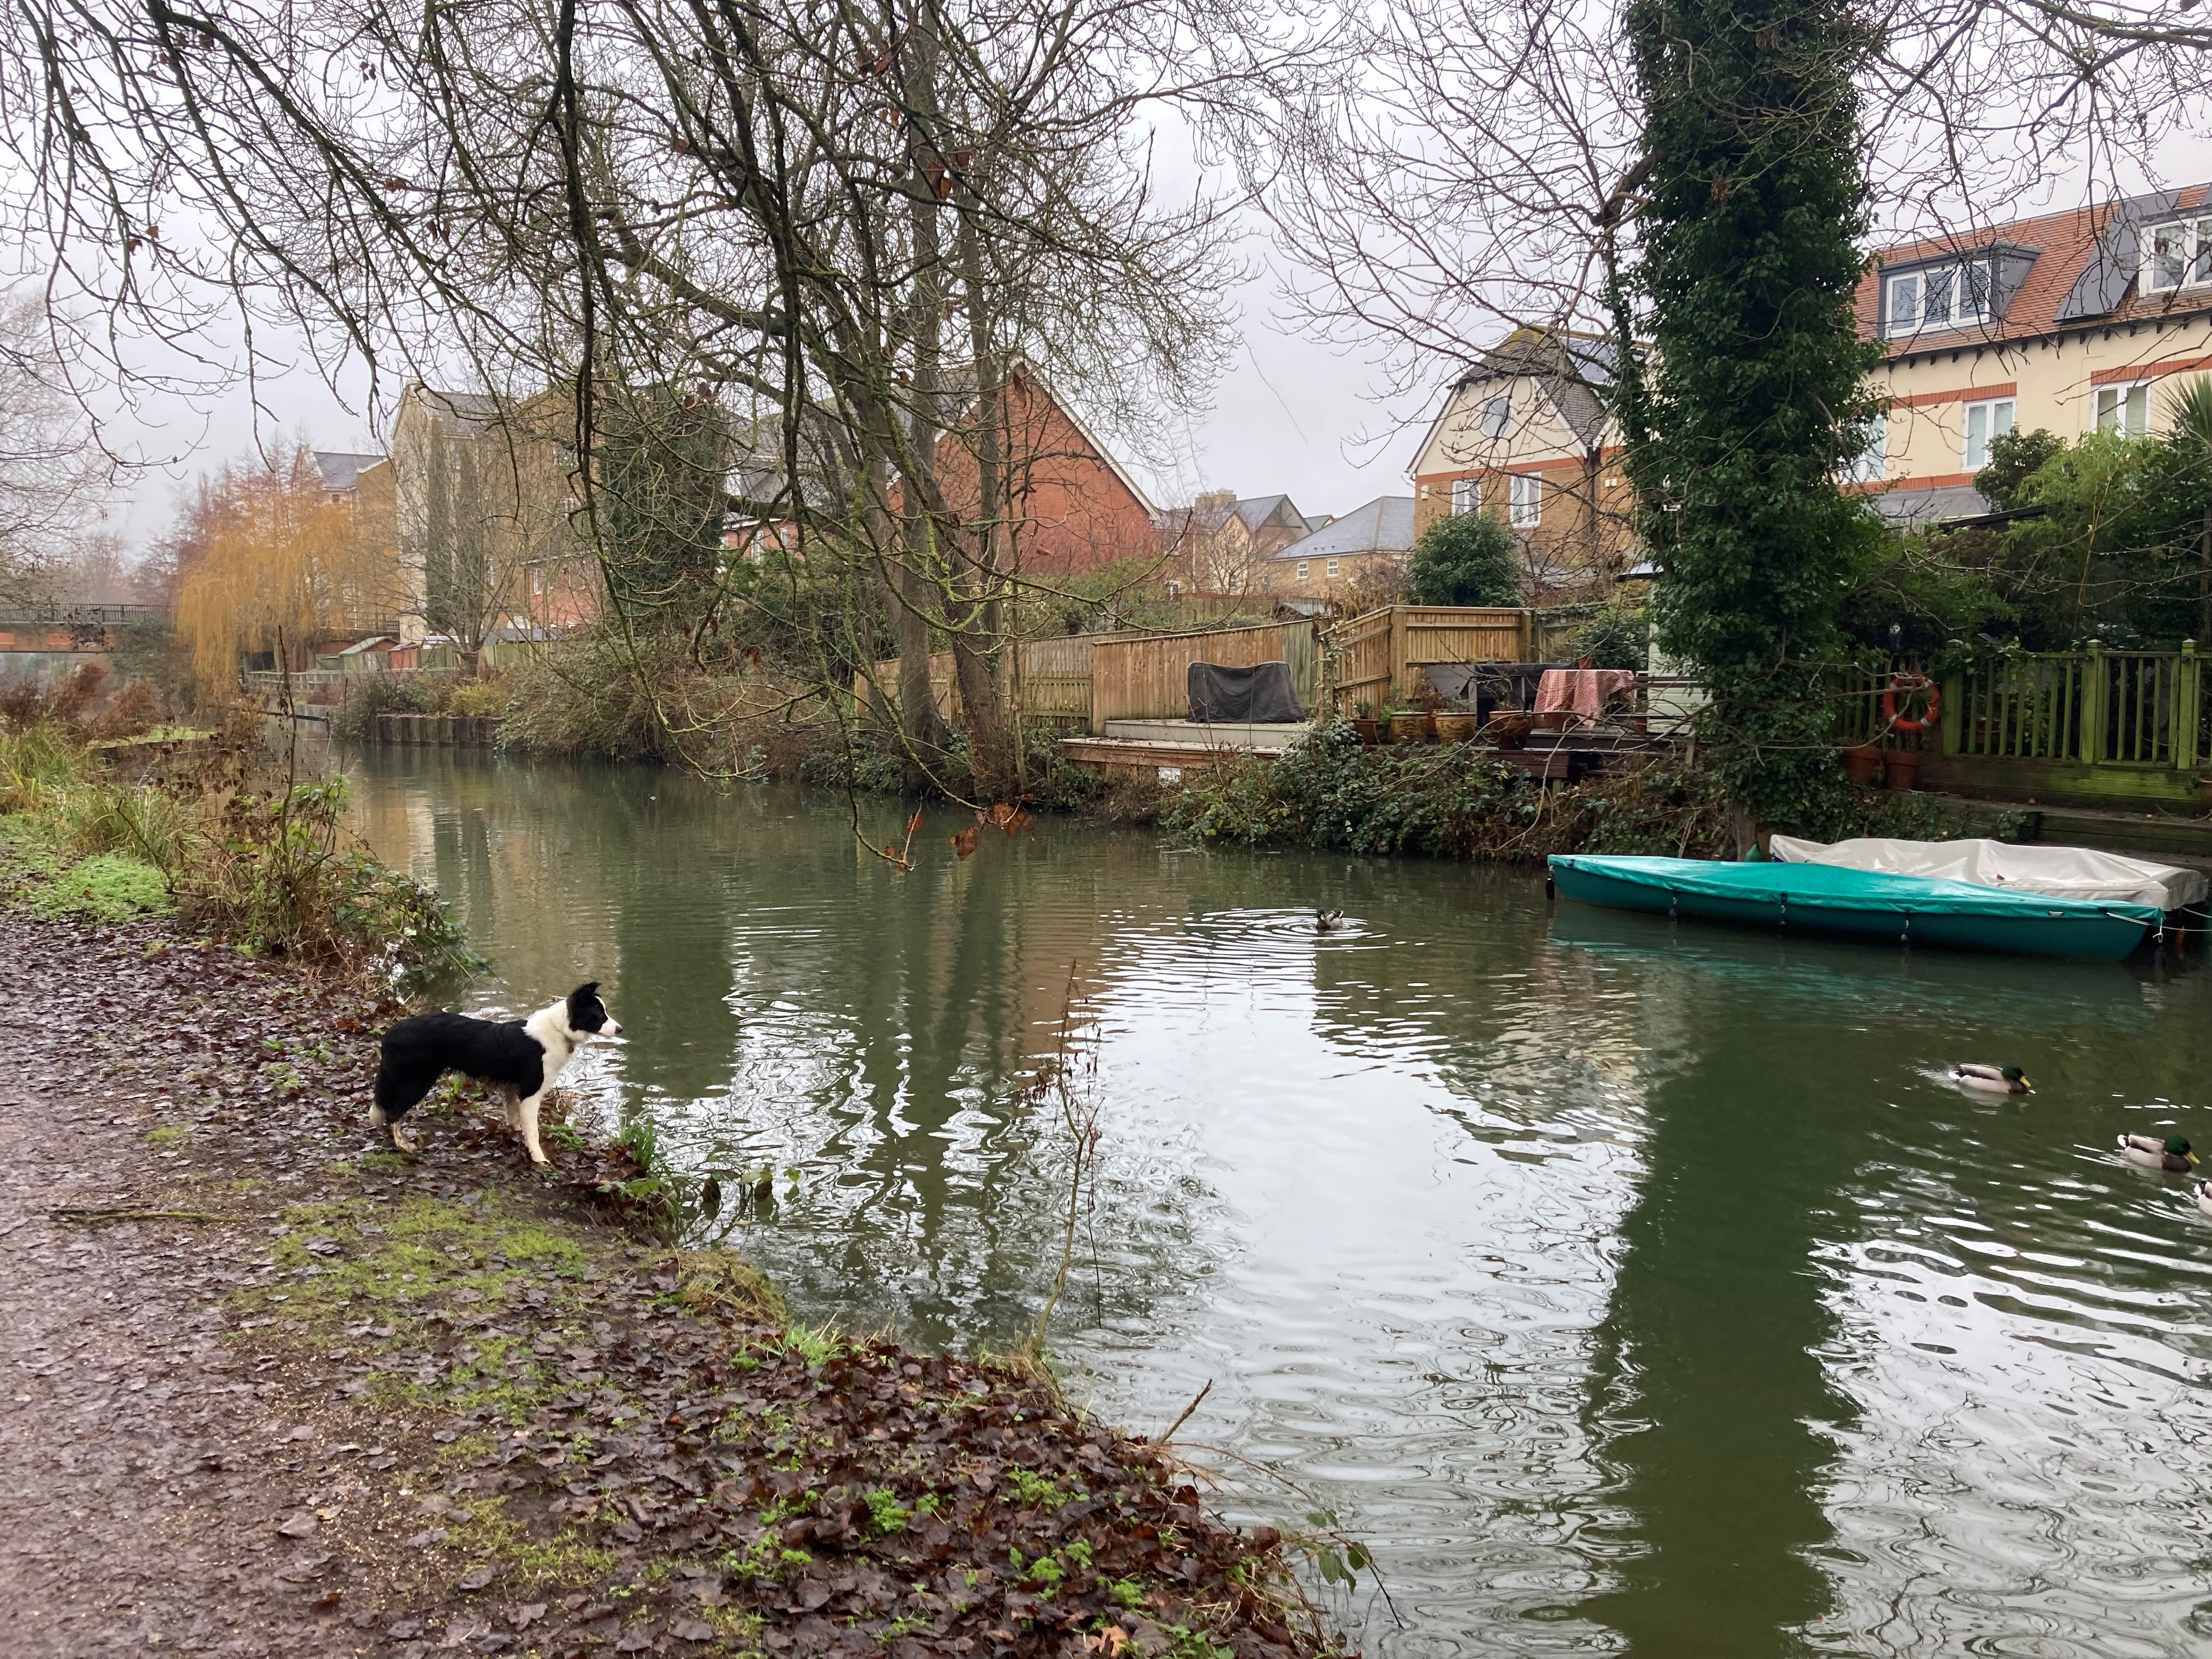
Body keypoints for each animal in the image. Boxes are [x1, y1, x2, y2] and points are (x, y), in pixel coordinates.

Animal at [374, 986, 624, 1167]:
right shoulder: (531, 1093)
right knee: (393, 1114)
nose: (620, 1029)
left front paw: (516, 1136)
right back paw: (403, 1144)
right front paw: (538, 1158)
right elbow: (533, 1130)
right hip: (417, 1082)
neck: (558, 1029)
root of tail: (392, 1033)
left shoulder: (513, 1090)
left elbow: (514, 1118)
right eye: (598, 1014)